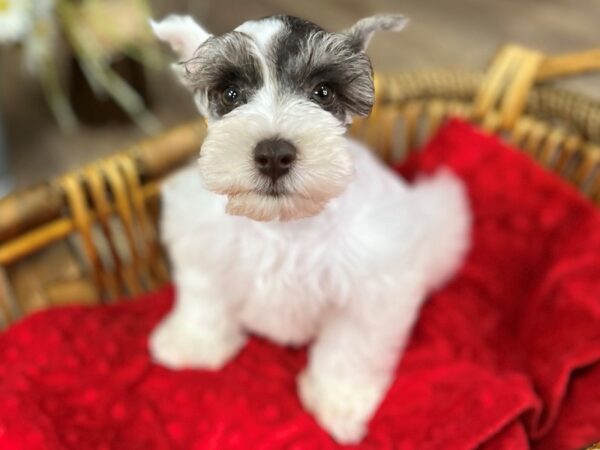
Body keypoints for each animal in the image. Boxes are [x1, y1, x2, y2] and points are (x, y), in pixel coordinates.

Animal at [148, 12, 472, 444]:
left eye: (323, 92)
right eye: (231, 94)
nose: (273, 154)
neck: (286, 225)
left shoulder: (372, 291)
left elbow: (349, 349)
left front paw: (339, 402)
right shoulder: (203, 243)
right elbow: (204, 297)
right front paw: (192, 343)